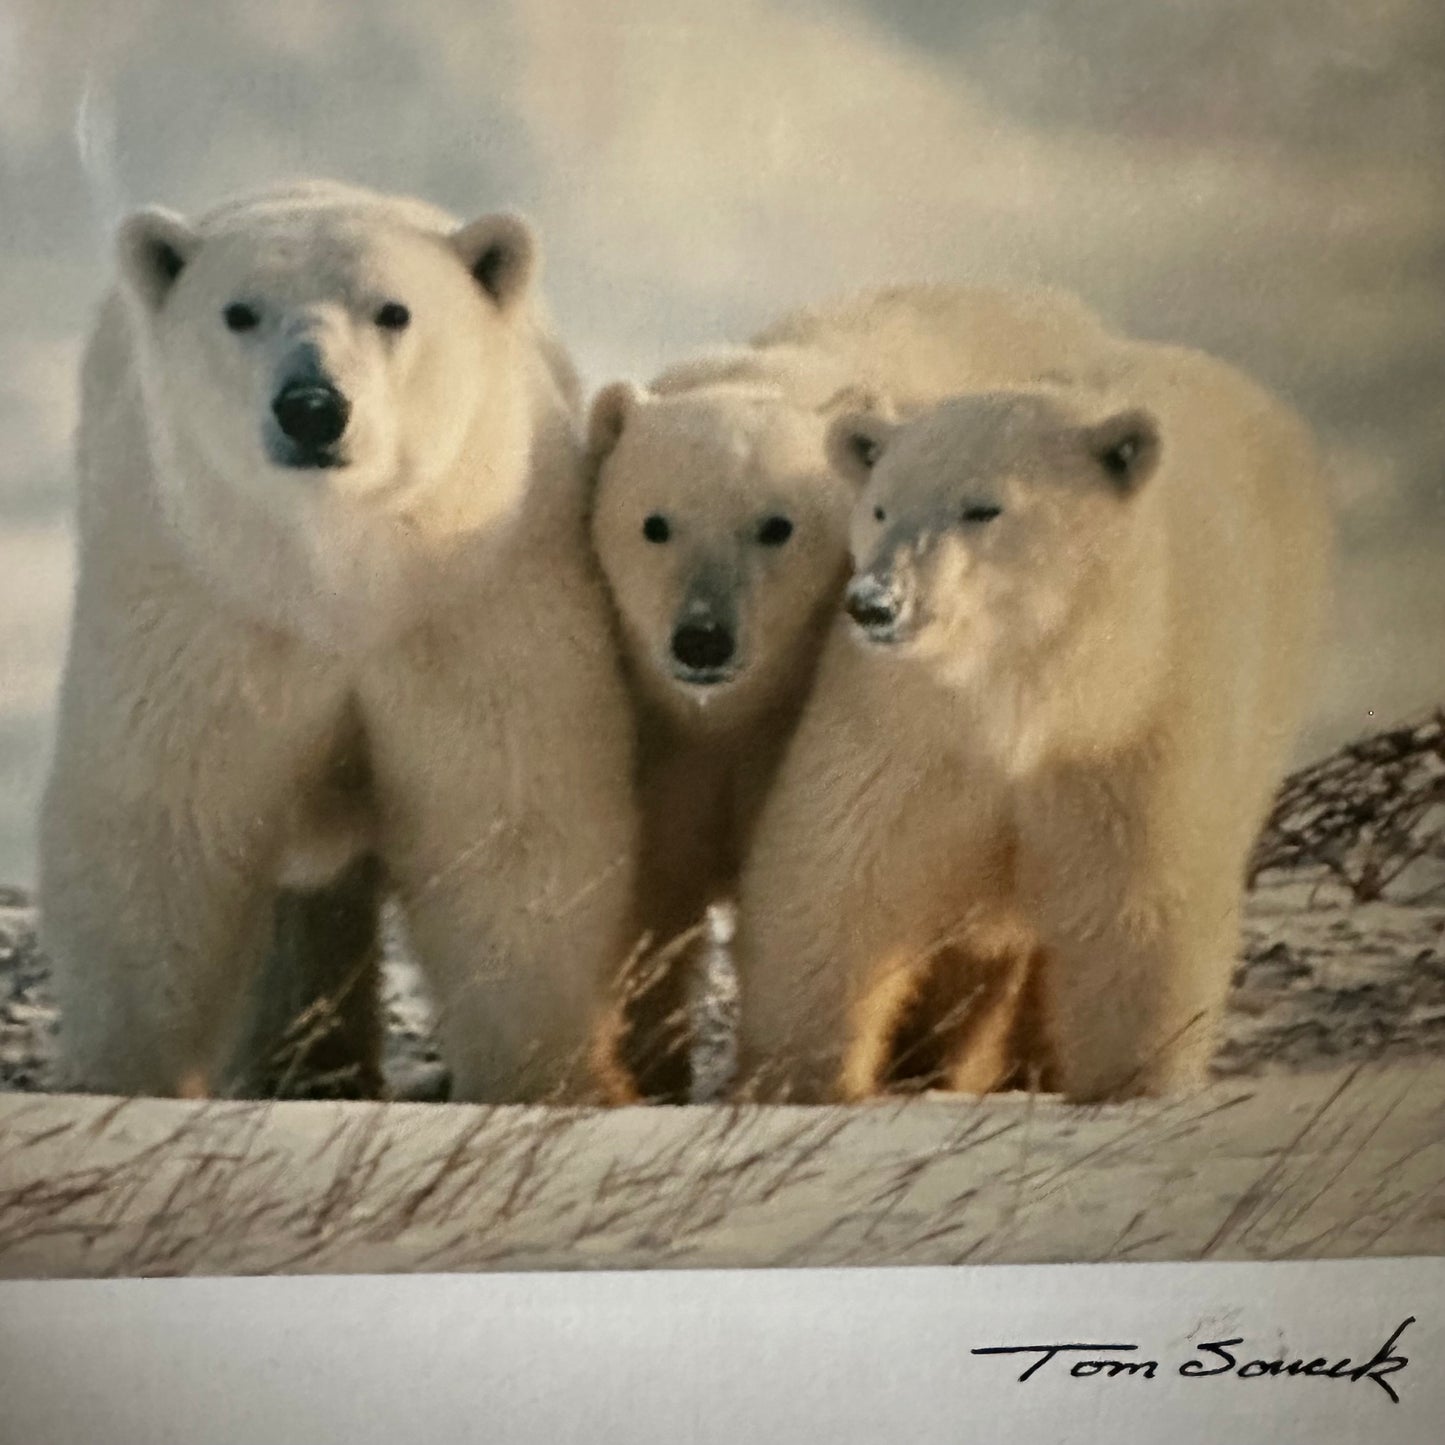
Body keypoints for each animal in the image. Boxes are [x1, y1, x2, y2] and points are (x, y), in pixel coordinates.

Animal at [37, 179, 638, 1104]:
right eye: (239, 311)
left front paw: (551, 1084)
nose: (312, 406)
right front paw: (127, 1077)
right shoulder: (207, 611)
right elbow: (160, 825)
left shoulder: (475, 604)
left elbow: (510, 824)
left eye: (393, 309)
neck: (340, 579)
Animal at [586, 283, 1124, 1102]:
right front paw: (657, 1076)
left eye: (776, 526)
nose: (703, 639)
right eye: (654, 523)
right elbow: (656, 895)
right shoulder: (663, 739)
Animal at [728, 345, 1333, 1104]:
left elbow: (1135, 914)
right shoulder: (903, 736)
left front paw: (1133, 1085)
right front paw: (799, 1080)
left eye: (982, 508)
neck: (1029, 696)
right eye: (879, 506)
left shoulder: (1133, 734)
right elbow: (831, 880)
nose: (875, 602)